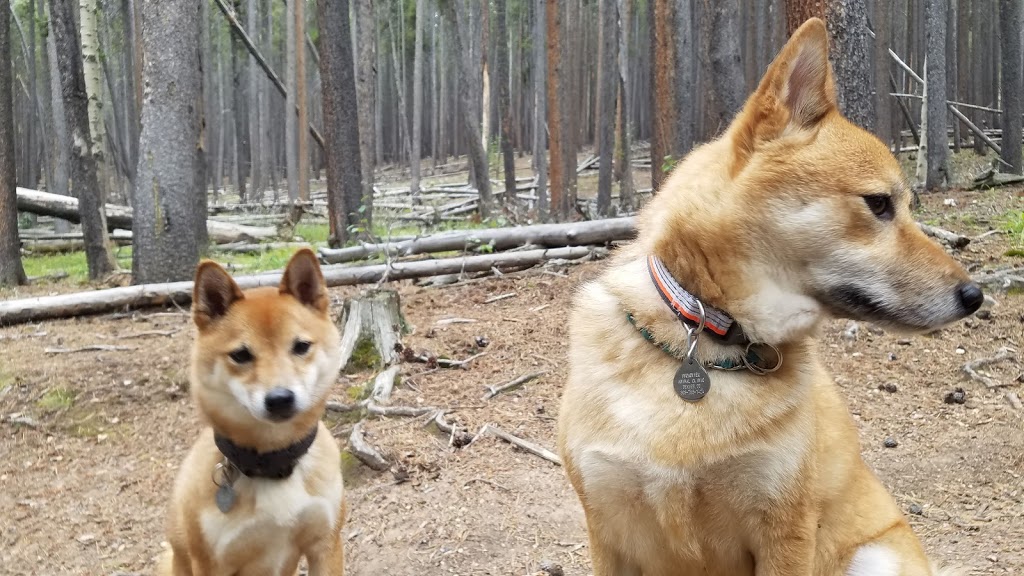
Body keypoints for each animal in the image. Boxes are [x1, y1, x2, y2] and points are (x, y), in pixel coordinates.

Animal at [161, 250, 346, 573]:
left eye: (301, 346)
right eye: (241, 355)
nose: (280, 399)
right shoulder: (211, 564)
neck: (273, 466)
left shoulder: (326, 545)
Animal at [561, 17, 983, 573]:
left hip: (876, 556)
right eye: (878, 203)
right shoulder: (610, 533)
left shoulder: (785, 529)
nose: (975, 295)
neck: (706, 337)